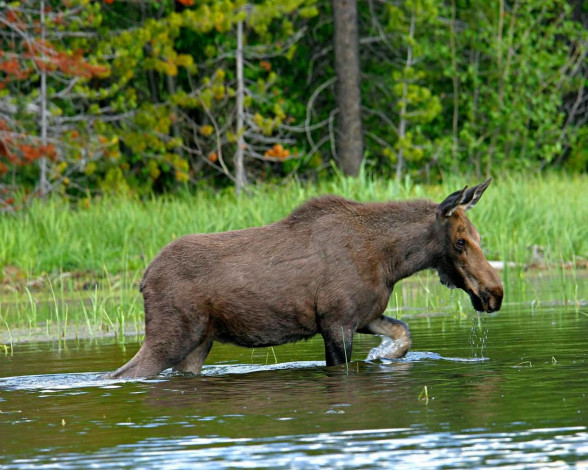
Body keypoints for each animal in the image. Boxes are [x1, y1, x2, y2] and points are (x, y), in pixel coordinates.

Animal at [109, 180, 500, 378]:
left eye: (480, 236)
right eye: (461, 241)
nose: (495, 293)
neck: (392, 263)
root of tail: (143, 280)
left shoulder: (364, 314)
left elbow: (403, 332)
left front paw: (383, 355)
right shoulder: (337, 321)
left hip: (199, 342)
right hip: (170, 335)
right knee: (120, 375)